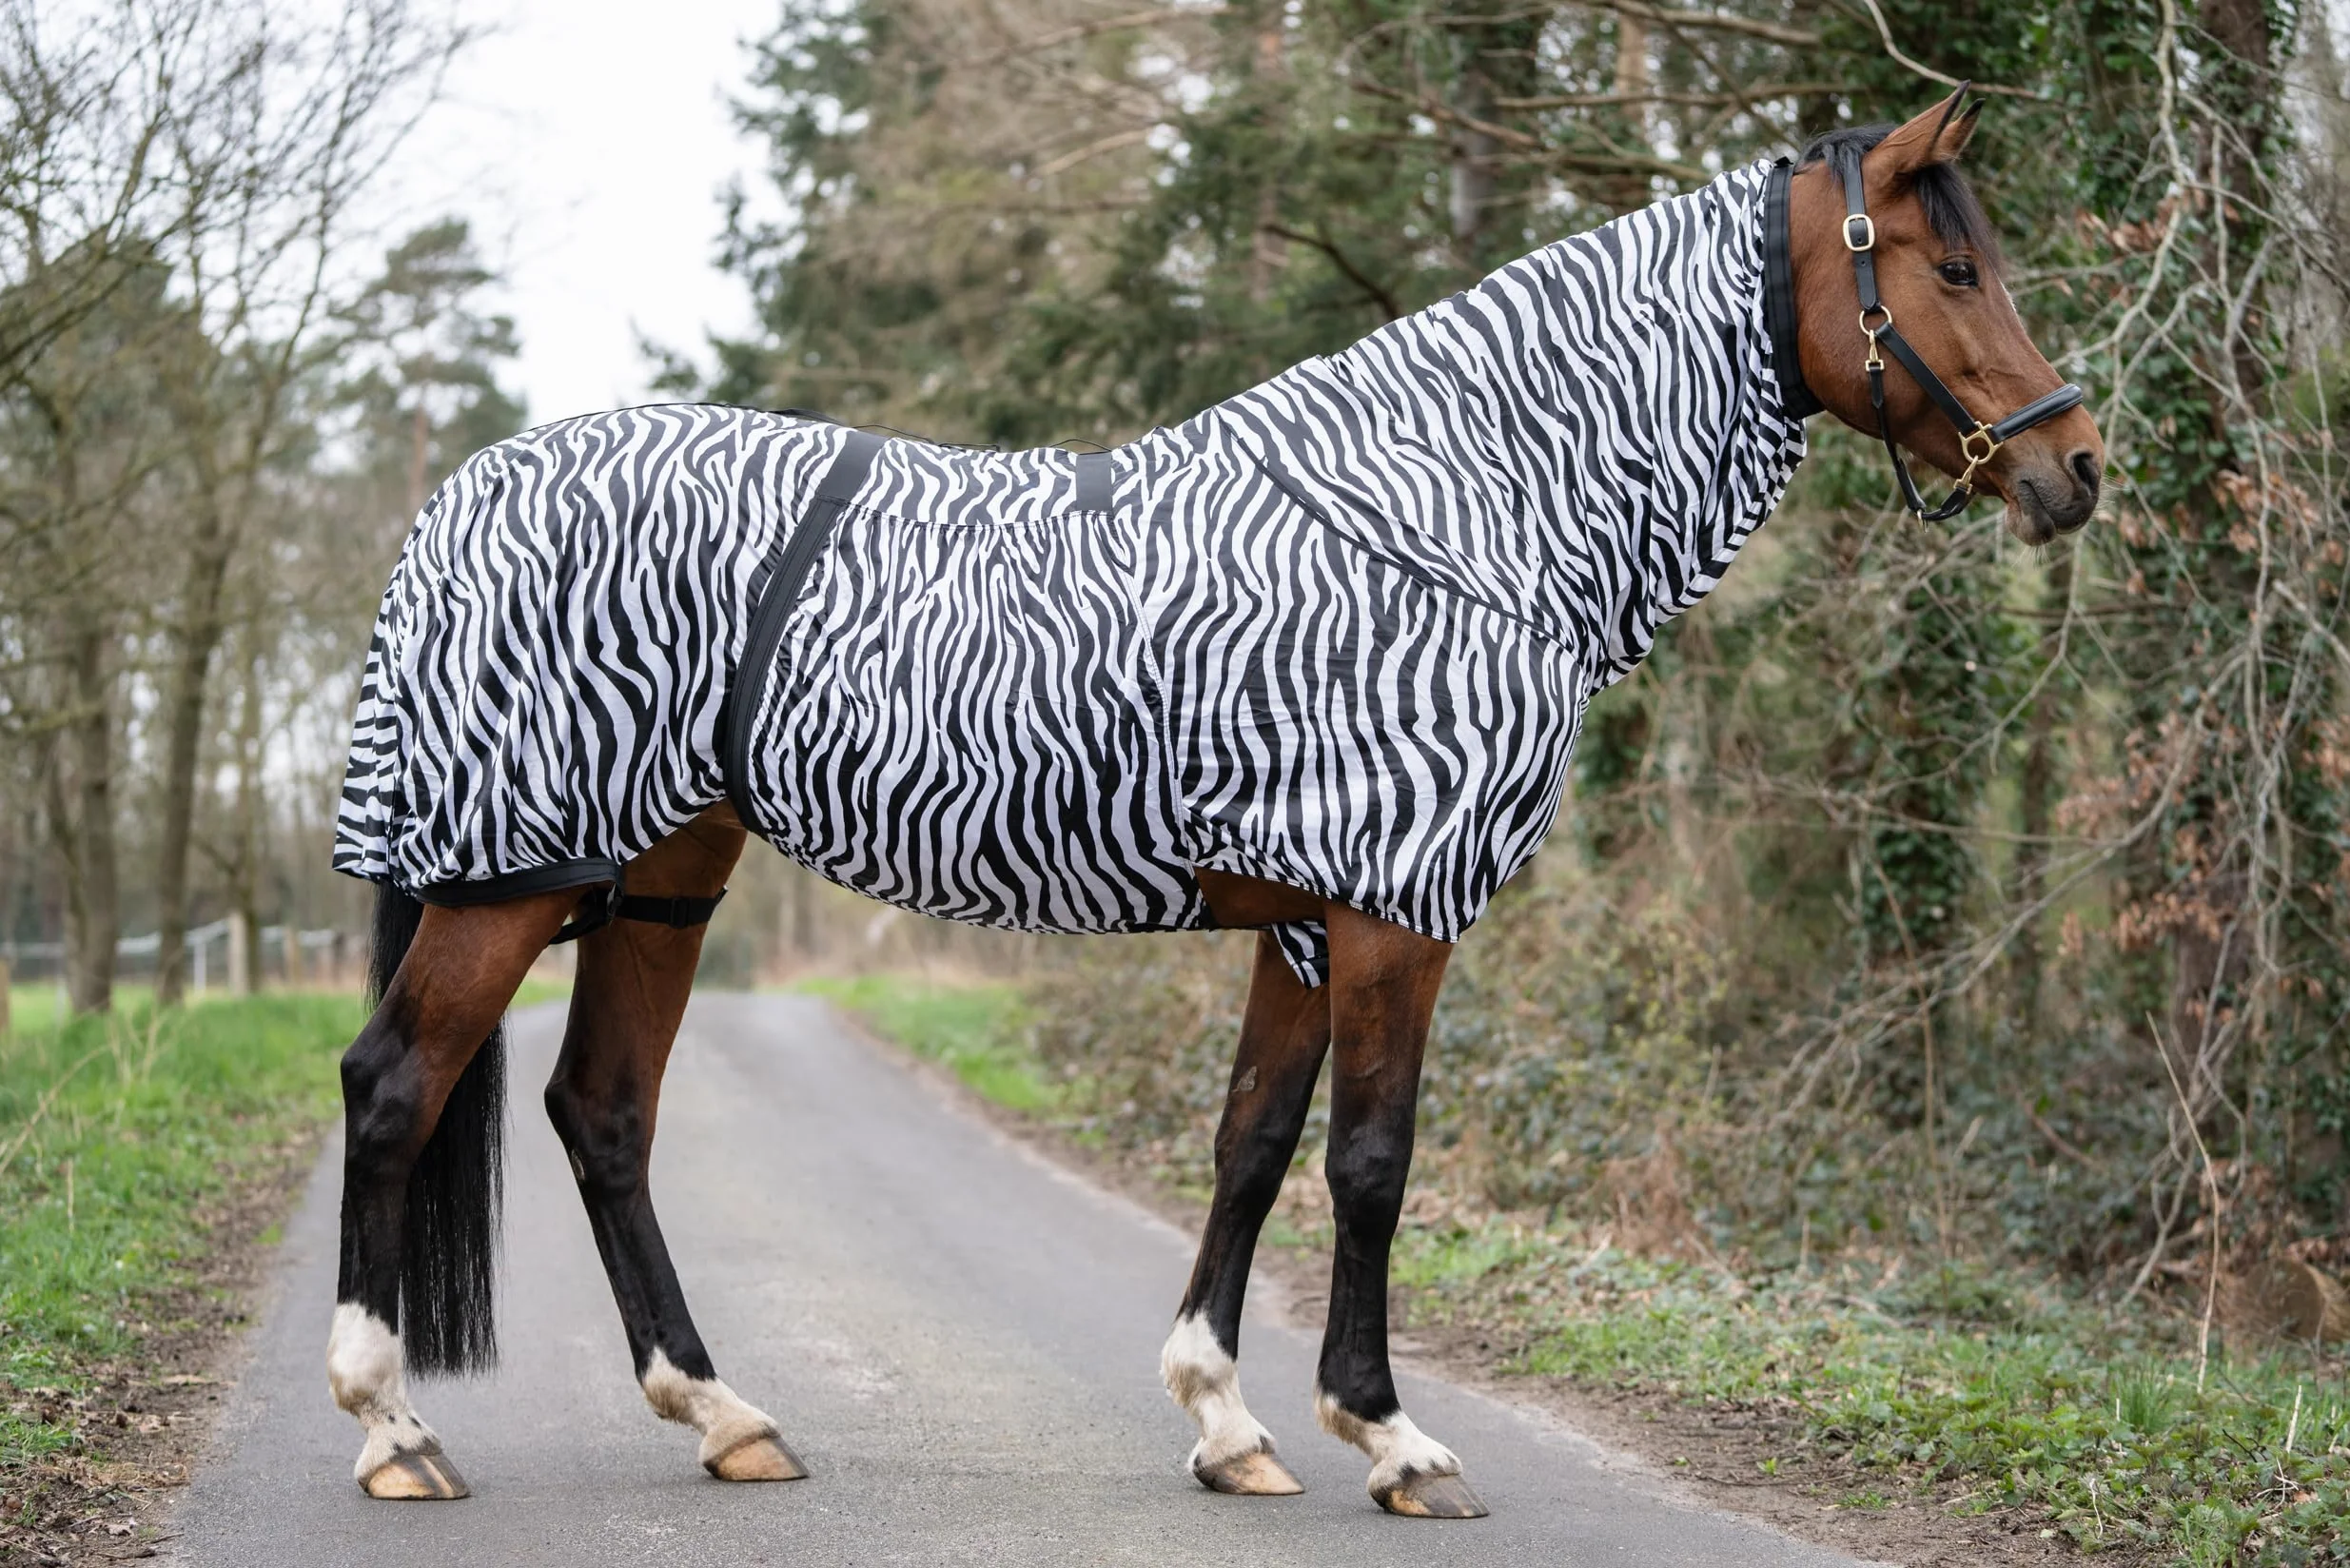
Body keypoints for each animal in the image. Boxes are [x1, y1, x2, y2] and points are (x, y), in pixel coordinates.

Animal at [323, 88, 2102, 1518]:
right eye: (1954, 271)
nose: (2075, 464)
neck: (1451, 515)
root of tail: (470, 489)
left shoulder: (1308, 921)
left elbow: (1252, 1143)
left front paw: (1226, 1420)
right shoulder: (1393, 915)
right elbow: (1371, 1159)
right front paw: (1388, 1435)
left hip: (659, 879)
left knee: (604, 1114)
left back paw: (722, 1411)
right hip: (505, 880)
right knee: (396, 1087)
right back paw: (393, 1427)